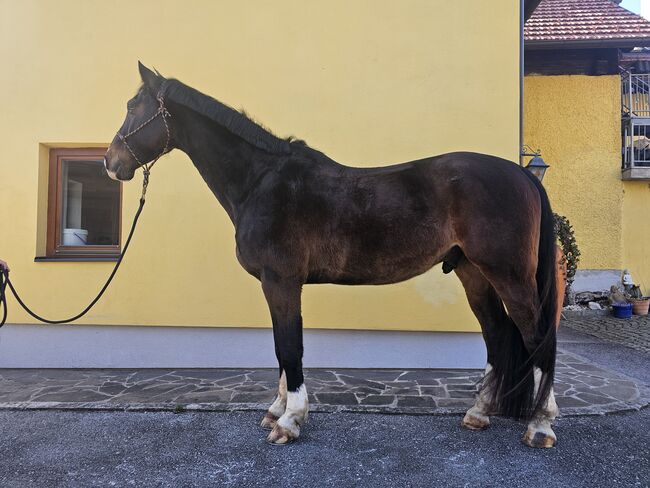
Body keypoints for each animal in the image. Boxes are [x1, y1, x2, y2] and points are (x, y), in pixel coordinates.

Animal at [105, 63, 556, 448]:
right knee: (497, 335)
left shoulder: (281, 281)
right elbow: (279, 348)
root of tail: (522, 175)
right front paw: (276, 411)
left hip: (509, 275)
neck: (261, 181)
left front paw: (290, 421)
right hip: (473, 273)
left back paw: (540, 426)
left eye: (131, 106)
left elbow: (290, 348)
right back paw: (477, 414)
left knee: (537, 337)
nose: (111, 162)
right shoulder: (276, 284)